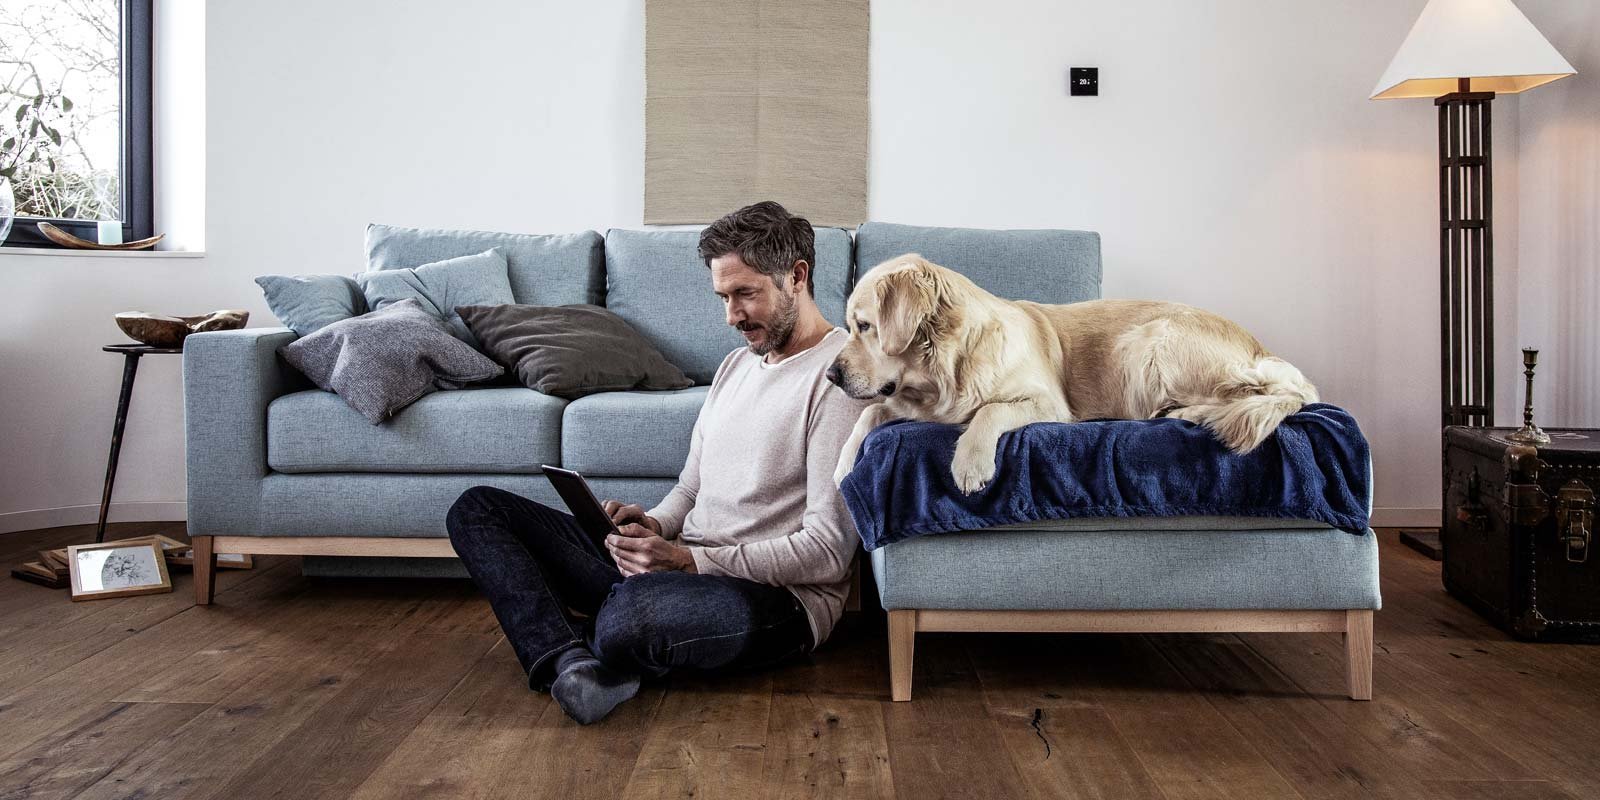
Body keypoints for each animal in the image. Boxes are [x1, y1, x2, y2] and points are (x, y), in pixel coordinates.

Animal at [832, 256, 1318, 492]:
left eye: (865, 326)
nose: (832, 376)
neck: (947, 370)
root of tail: (1260, 348)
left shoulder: (1048, 403)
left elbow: (989, 412)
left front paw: (971, 464)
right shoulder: (915, 404)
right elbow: (871, 413)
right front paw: (843, 465)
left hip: (1148, 343)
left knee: (1257, 393)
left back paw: (1189, 414)